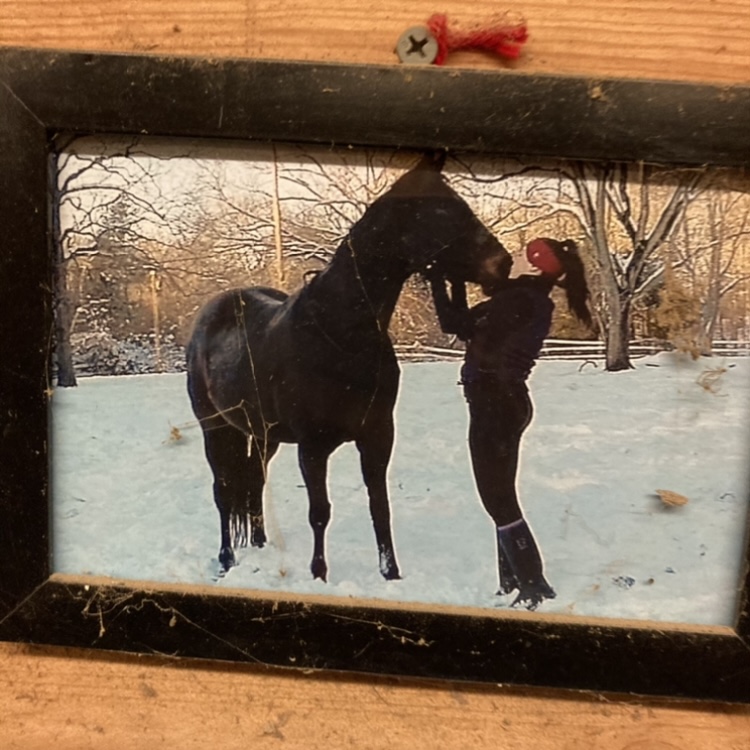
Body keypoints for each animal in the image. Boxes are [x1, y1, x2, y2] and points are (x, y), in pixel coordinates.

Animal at [187, 154, 512, 580]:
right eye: (442, 210)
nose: (502, 263)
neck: (343, 336)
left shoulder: (377, 435)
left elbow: (380, 507)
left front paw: (391, 574)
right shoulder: (312, 447)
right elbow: (319, 512)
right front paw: (319, 574)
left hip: (263, 436)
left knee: (254, 481)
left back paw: (259, 545)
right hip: (215, 428)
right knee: (224, 491)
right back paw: (226, 559)